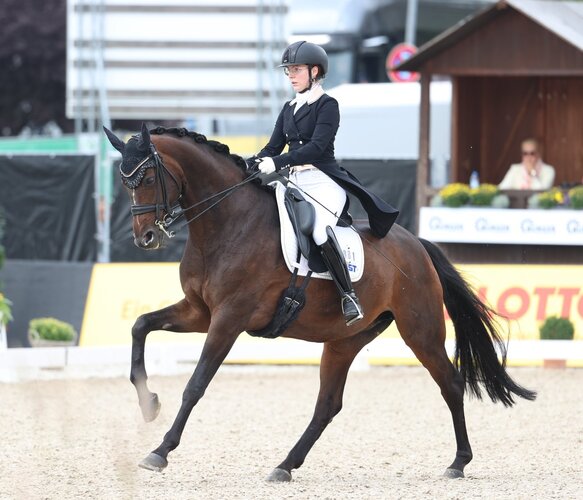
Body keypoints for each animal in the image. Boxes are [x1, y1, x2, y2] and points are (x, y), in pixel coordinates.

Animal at [103, 123, 536, 481]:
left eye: (146, 178)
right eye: (125, 183)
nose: (145, 238)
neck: (226, 224)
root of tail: (416, 244)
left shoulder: (228, 318)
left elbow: (195, 385)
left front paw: (160, 451)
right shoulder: (200, 312)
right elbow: (140, 325)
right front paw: (148, 403)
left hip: (421, 330)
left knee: (451, 383)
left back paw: (458, 462)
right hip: (345, 340)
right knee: (328, 404)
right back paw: (284, 465)